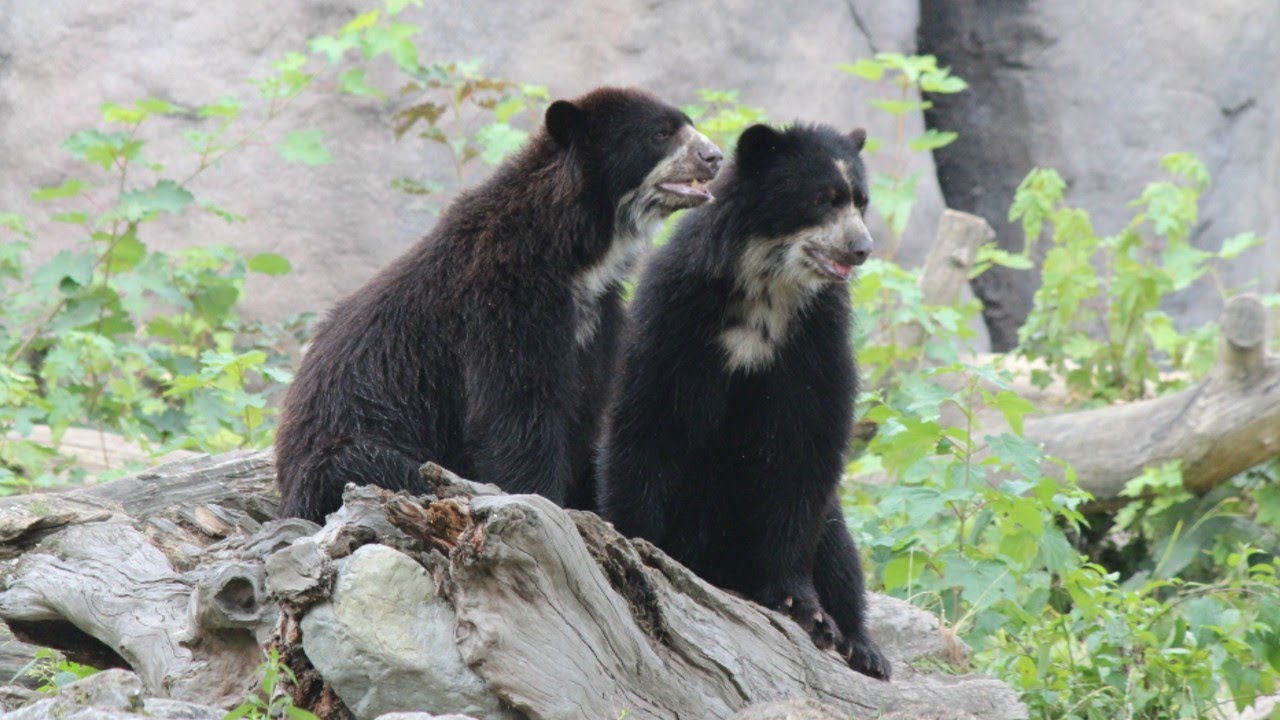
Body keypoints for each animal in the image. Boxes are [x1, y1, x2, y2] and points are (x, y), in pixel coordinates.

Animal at [275, 87, 723, 522]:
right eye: (660, 133)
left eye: (688, 124)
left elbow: (584, 408)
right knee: (372, 465)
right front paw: (545, 500)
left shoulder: (598, 316)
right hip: (343, 458)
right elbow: (515, 409)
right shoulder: (503, 298)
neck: (581, 255)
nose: (715, 157)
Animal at [596, 122, 890, 680]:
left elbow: (805, 449)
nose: (862, 248)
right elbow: (647, 419)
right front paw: (639, 545)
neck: (769, 290)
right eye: (823, 199)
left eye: (862, 202)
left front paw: (804, 608)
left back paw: (865, 648)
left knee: (839, 548)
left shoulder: (814, 339)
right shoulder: (680, 315)